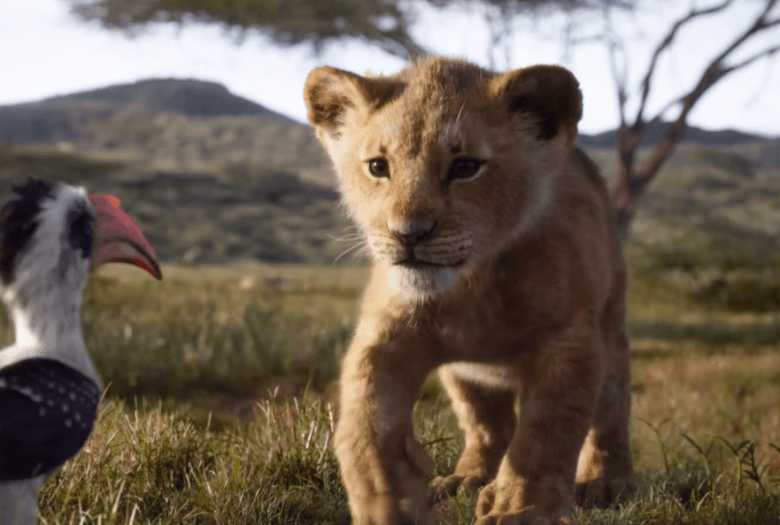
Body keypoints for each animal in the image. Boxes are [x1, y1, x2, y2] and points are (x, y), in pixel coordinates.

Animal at [303, 56, 633, 525]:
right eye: (378, 167)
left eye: (465, 167)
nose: (408, 234)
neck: (473, 286)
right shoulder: (385, 336)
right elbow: (365, 424)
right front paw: (388, 501)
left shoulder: (570, 344)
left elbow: (545, 437)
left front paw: (521, 510)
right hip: (464, 375)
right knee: (487, 426)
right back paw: (468, 478)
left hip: (609, 330)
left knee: (611, 412)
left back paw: (605, 482)